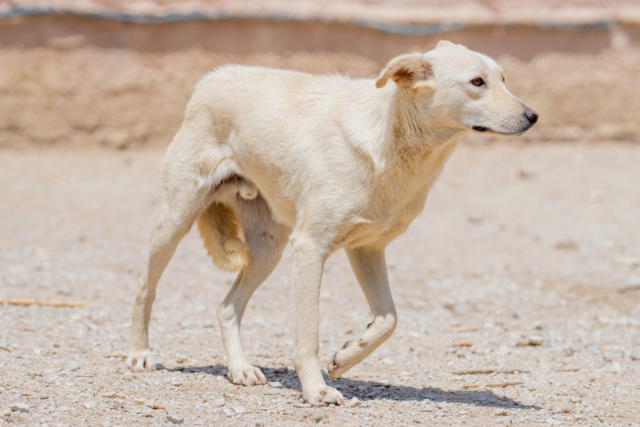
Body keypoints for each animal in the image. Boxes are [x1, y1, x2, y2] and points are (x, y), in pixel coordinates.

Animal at [125, 41, 536, 408]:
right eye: (477, 82)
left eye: (503, 78)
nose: (533, 116)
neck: (391, 142)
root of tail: (214, 76)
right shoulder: (309, 247)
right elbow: (309, 337)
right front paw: (316, 390)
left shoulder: (367, 249)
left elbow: (389, 319)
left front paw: (348, 355)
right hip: (175, 220)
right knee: (145, 287)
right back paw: (139, 354)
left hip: (268, 249)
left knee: (226, 307)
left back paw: (240, 368)